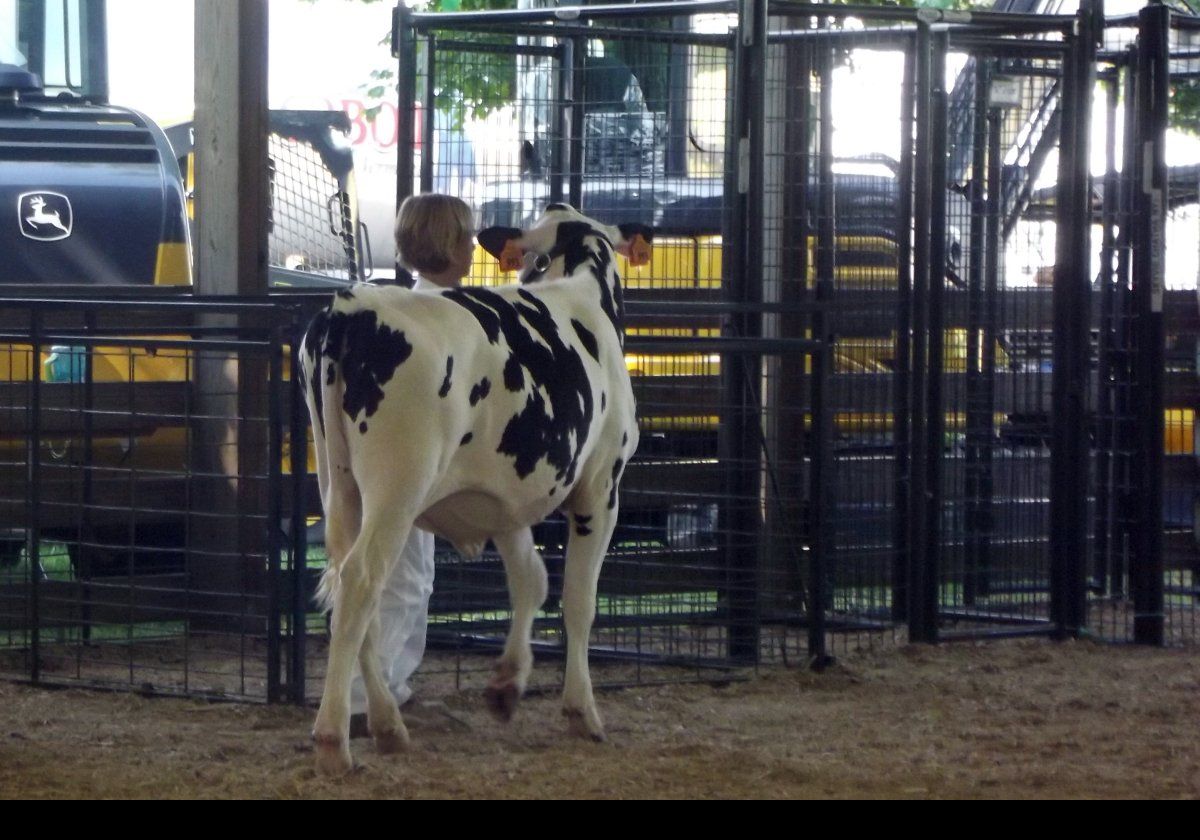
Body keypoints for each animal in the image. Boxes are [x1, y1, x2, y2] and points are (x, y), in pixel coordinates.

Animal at [300, 204, 657, 772]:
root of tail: (347, 308)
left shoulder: (504, 500)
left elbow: (531, 580)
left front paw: (507, 685)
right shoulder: (602, 488)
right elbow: (579, 600)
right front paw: (581, 710)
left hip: (336, 483)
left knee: (348, 587)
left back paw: (388, 725)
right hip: (397, 486)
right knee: (360, 581)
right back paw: (335, 740)